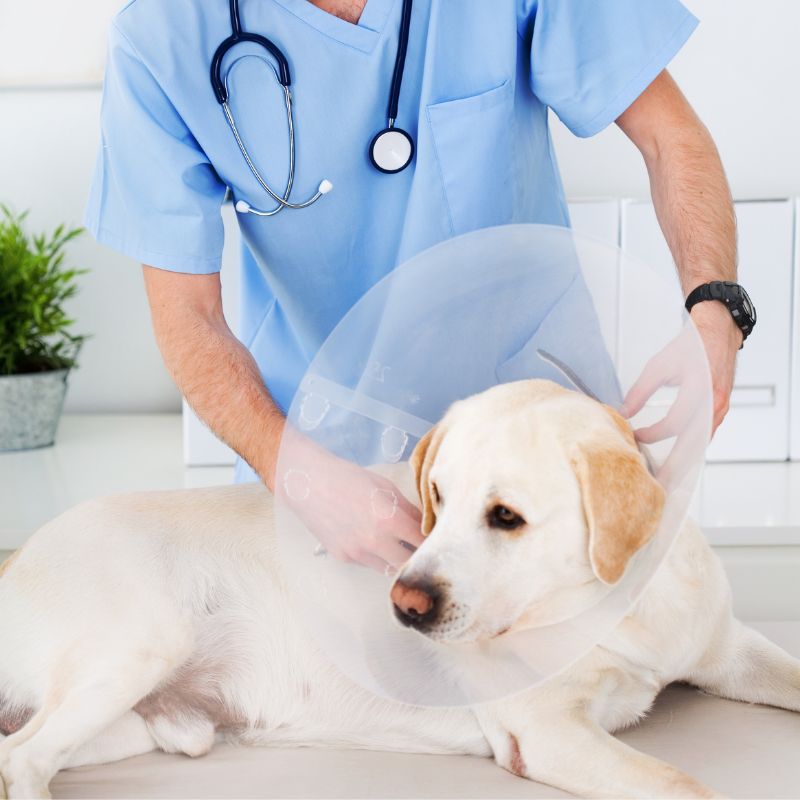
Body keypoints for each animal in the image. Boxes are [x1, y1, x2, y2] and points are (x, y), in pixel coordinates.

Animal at [1, 382, 800, 800]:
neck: (614, 611)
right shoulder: (546, 731)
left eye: (505, 516)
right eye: (436, 498)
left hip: (141, 725)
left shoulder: (733, 651)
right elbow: (685, 785)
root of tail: (18, 558)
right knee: (22, 761)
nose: (404, 603)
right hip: (139, 647)